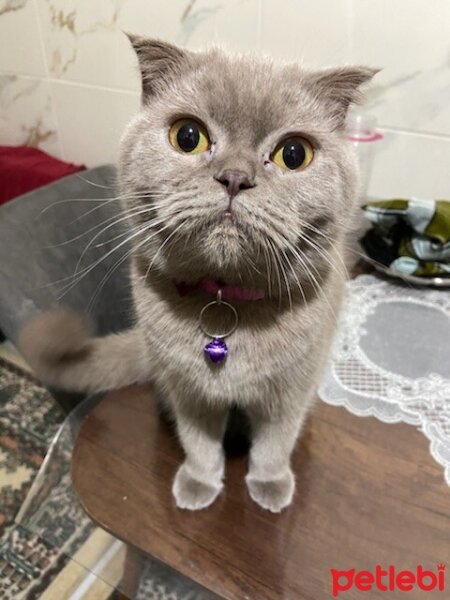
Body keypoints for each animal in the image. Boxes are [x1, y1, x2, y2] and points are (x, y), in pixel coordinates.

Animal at [20, 37, 376, 512]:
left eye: (294, 154)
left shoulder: (290, 389)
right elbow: (199, 442)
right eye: (188, 137)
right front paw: (198, 484)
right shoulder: (188, 389)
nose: (235, 177)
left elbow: (275, 442)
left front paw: (270, 485)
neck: (226, 303)